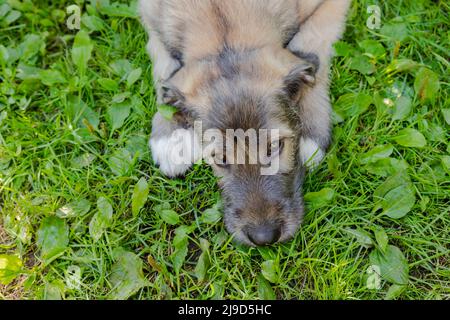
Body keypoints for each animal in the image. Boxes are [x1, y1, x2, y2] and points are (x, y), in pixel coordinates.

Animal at [139, 0, 350, 246]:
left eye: (275, 147)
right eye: (220, 158)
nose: (264, 237)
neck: (225, 32)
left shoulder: (331, 7)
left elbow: (313, 48)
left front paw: (311, 131)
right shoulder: (149, 14)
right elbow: (163, 67)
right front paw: (171, 135)